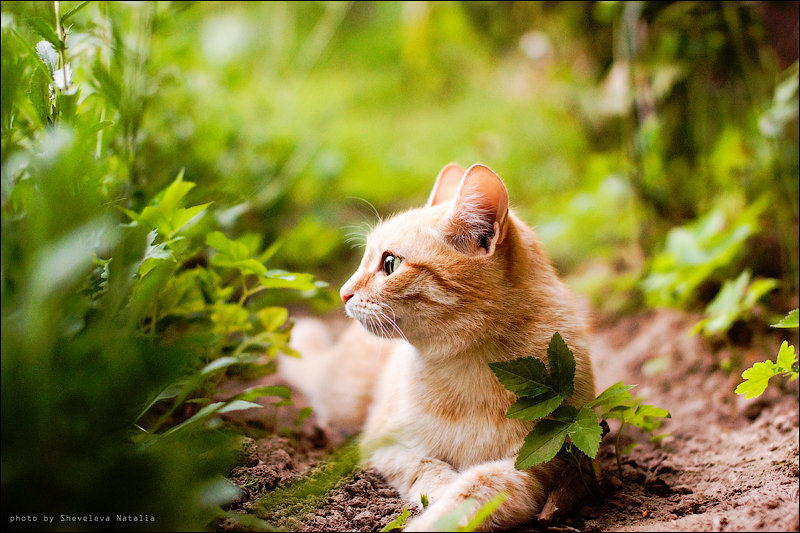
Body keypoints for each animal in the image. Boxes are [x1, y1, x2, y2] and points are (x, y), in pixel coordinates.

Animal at [280, 164, 592, 528]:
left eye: (390, 264)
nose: (343, 293)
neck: (469, 366)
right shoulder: (383, 444)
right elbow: (424, 467)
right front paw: (439, 491)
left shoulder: (533, 466)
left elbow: (476, 487)